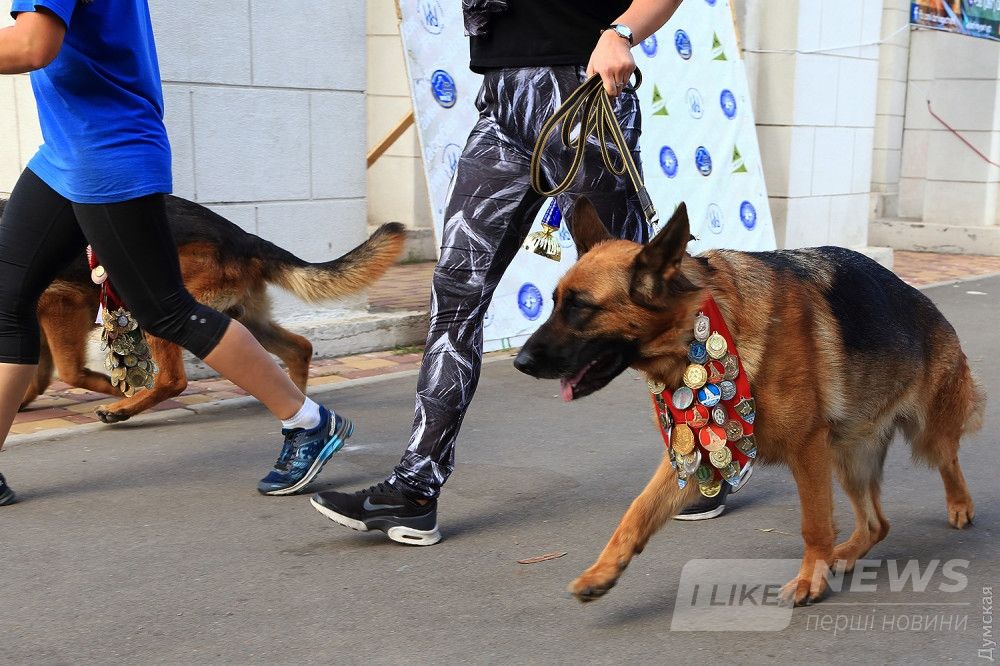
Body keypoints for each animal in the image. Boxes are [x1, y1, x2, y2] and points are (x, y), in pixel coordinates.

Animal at [0, 196, 405, 423]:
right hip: (241, 318)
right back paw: (296, 400)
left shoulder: (60, 305)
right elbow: (37, 373)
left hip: (162, 311)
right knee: (299, 347)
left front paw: (118, 393)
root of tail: (243, 237)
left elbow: (68, 371)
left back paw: (124, 409)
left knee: (173, 380)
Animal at [514, 198, 984, 606]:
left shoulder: (807, 449)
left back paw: (959, 506)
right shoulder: (694, 452)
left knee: (948, 458)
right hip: (849, 457)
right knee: (876, 525)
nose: (520, 361)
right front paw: (602, 571)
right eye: (554, 303)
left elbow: (814, 524)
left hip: (922, 433)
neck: (703, 325)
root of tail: (926, 305)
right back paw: (844, 555)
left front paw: (810, 580)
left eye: (581, 308)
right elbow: (637, 512)